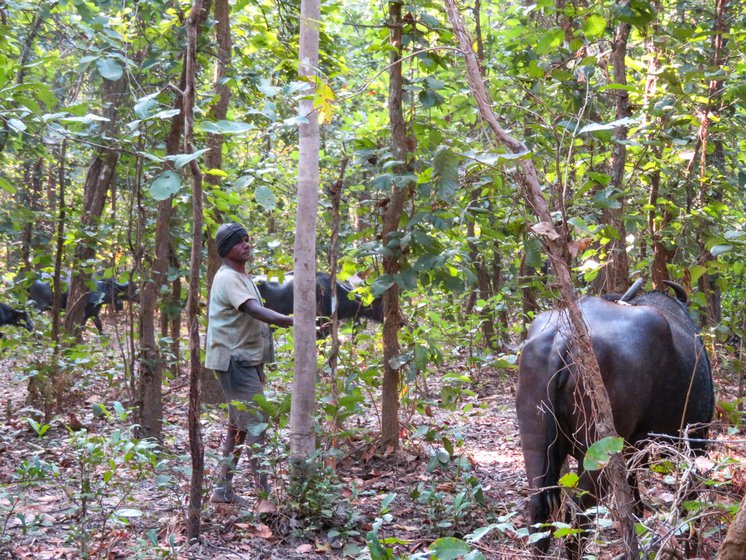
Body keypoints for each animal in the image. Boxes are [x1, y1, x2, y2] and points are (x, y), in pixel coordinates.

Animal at [516, 284, 712, 556]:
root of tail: (564, 336)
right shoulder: (695, 444)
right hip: (599, 456)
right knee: (579, 517)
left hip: (535, 439)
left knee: (539, 510)